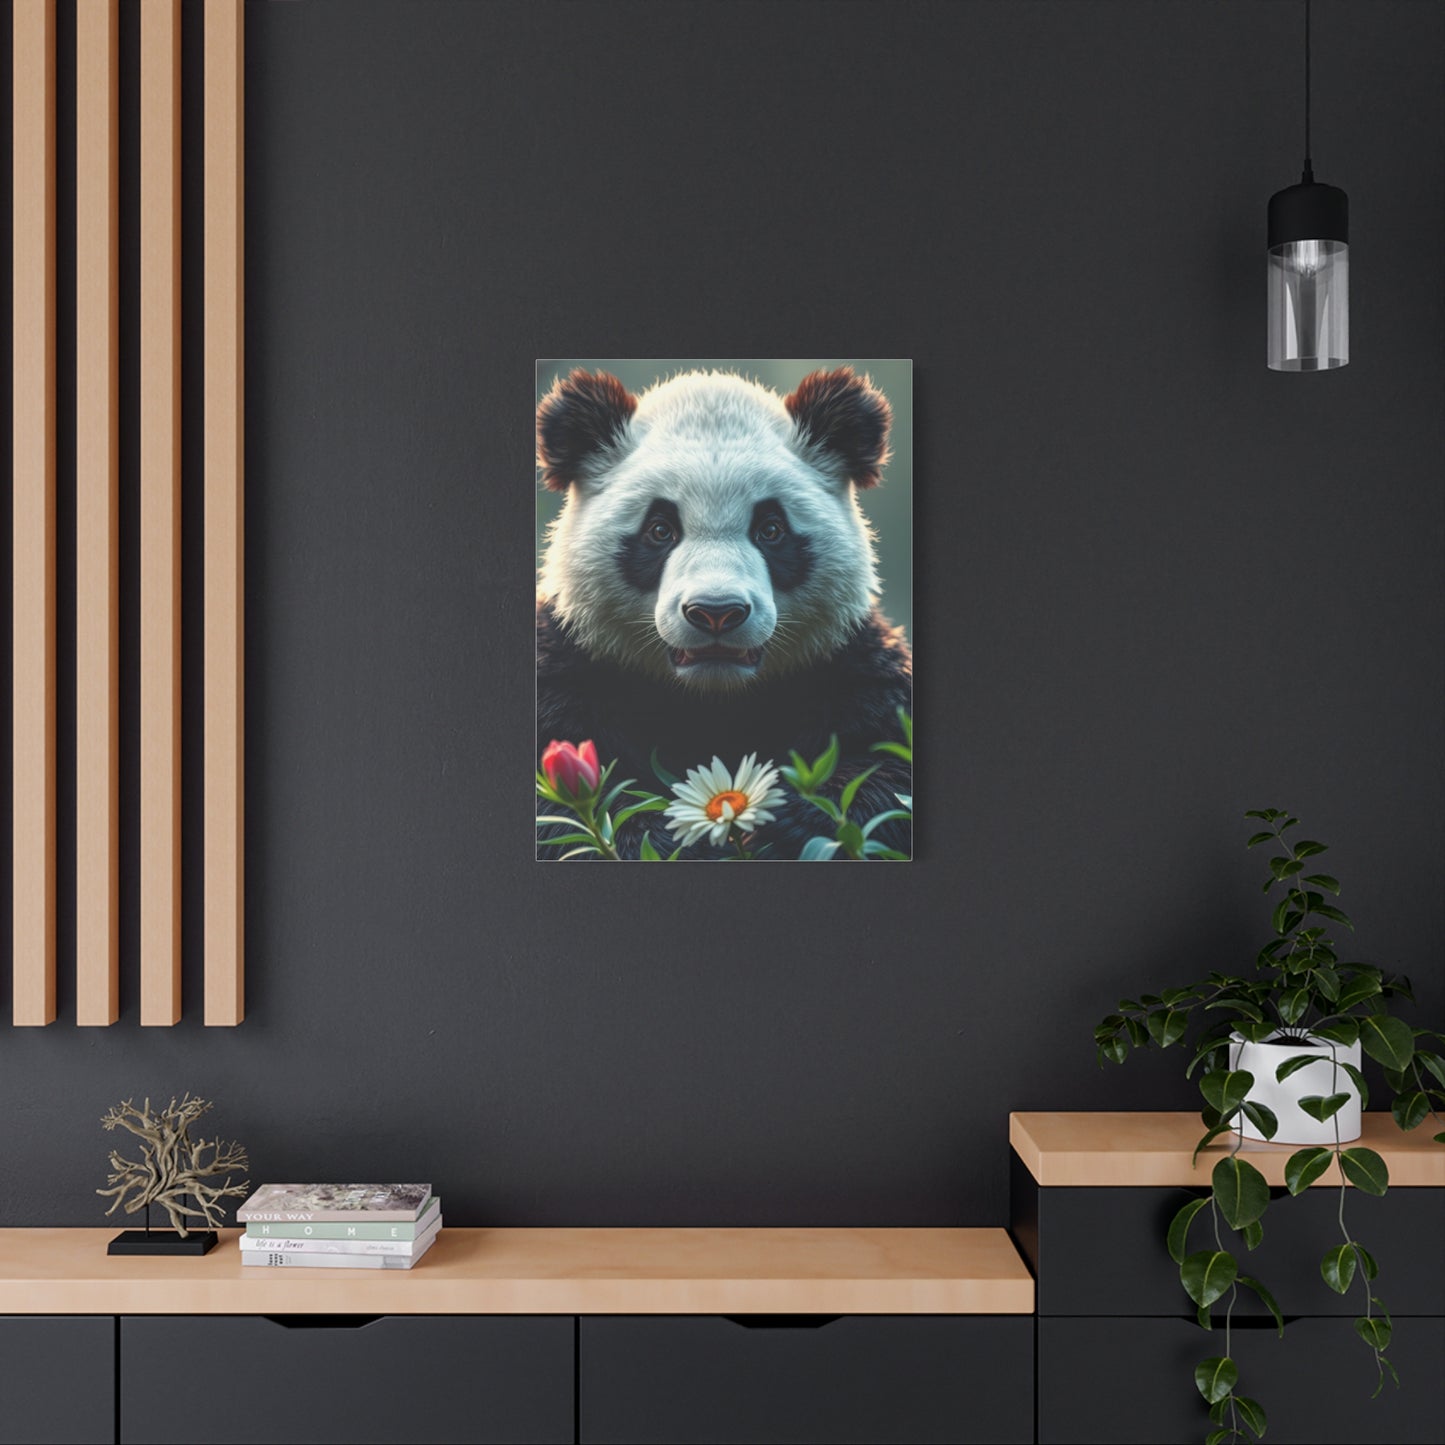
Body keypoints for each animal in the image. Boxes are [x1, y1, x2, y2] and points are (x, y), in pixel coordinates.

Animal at [536, 365, 912, 860]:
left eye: (771, 529)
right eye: (660, 530)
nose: (716, 612)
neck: (713, 700)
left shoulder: (848, 663)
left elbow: (890, 766)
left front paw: (788, 820)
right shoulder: (570, 665)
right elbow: (563, 814)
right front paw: (668, 836)